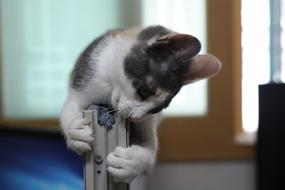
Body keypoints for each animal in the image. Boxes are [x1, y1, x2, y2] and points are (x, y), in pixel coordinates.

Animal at [59, 25, 220, 183]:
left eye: (159, 108)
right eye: (145, 91)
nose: (134, 117)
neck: (110, 88)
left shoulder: (147, 120)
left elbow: (149, 151)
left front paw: (131, 163)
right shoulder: (85, 81)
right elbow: (70, 107)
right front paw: (75, 133)